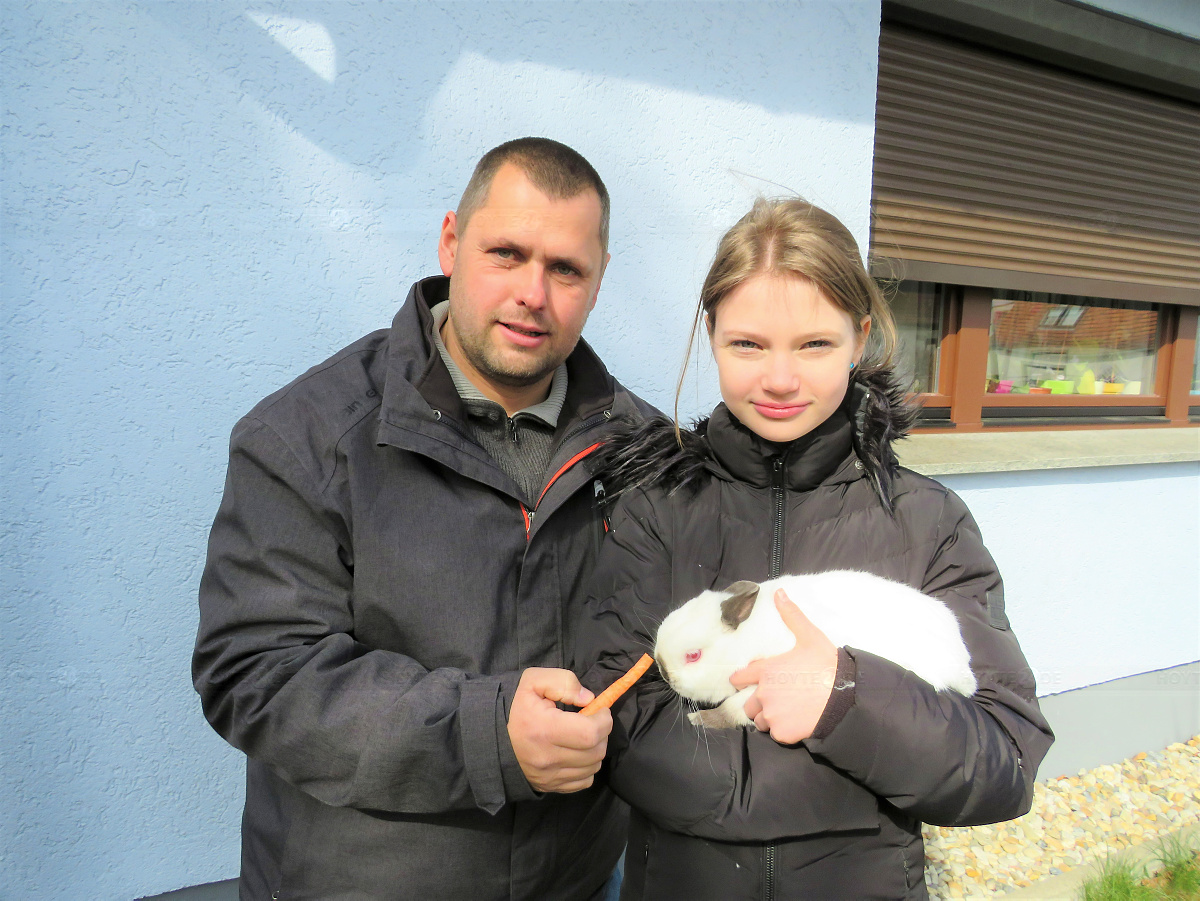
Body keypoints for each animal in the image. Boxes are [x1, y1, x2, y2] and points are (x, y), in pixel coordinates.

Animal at [652, 573, 979, 729]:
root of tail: (961, 658)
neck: (749, 638)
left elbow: (731, 711)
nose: (663, 671)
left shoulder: (761, 687)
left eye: (693, 656)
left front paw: (698, 720)